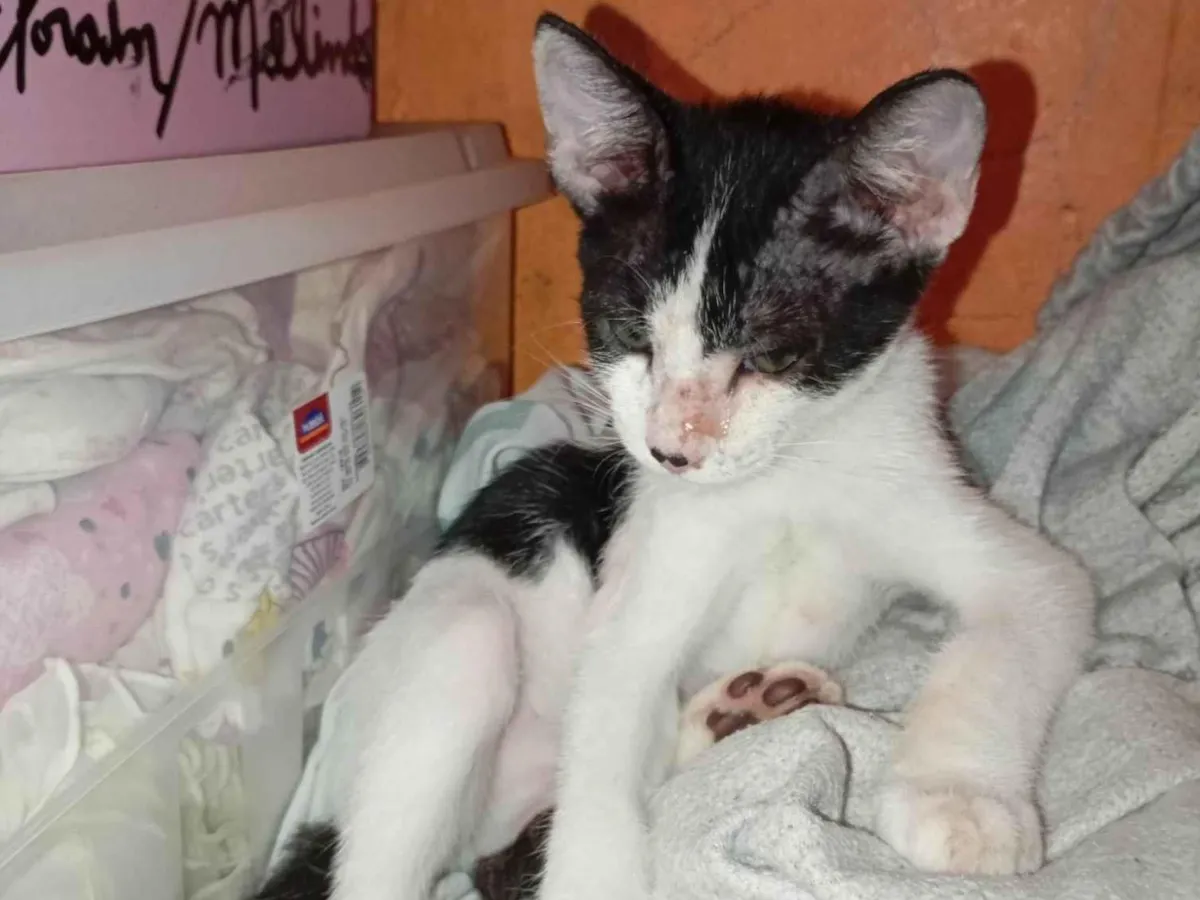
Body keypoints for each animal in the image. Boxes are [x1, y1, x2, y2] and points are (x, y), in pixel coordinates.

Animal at [257, 12, 1095, 900]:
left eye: (771, 354)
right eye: (628, 335)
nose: (668, 451)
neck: (782, 477)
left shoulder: (940, 504)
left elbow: (1028, 610)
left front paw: (961, 800)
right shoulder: (637, 598)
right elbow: (611, 722)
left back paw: (743, 711)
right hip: (455, 641)